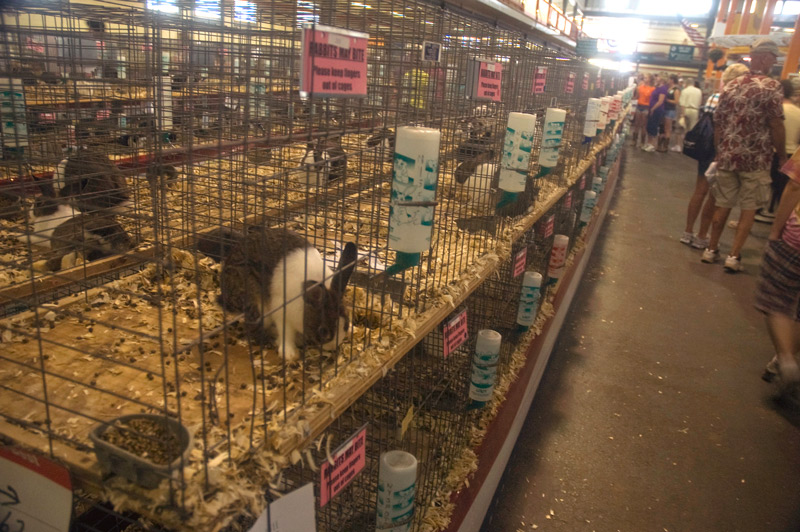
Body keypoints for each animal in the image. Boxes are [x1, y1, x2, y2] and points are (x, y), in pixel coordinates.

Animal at [216, 227, 360, 364]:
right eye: (323, 331)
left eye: (345, 323)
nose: (332, 347)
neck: (305, 304)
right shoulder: (281, 310)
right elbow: (286, 333)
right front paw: (290, 354)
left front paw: (352, 329)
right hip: (257, 304)